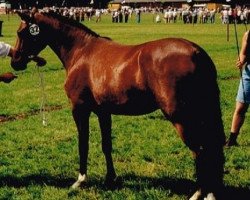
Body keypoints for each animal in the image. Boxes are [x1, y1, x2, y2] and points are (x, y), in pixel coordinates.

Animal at [10, 9, 226, 200]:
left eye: (21, 32)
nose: (15, 61)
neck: (81, 51)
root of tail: (196, 51)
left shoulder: (79, 109)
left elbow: (83, 144)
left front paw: (80, 180)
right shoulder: (103, 112)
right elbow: (107, 145)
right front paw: (110, 178)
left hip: (181, 117)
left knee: (200, 151)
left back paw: (199, 193)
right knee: (212, 149)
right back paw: (211, 193)